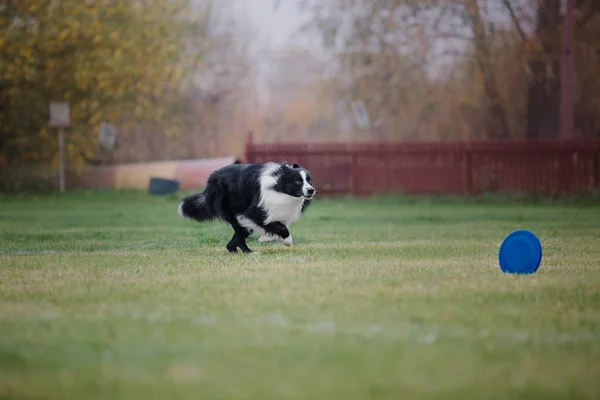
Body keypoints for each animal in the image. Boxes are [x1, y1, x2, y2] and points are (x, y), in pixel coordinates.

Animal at [178, 160, 316, 252]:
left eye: (310, 181)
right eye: (297, 181)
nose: (311, 190)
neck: (279, 188)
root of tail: (212, 179)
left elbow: (275, 225)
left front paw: (265, 238)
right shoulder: (254, 211)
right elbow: (280, 227)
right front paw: (287, 241)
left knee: (234, 240)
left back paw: (237, 250)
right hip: (231, 210)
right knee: (239, 233)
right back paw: (248, 252)